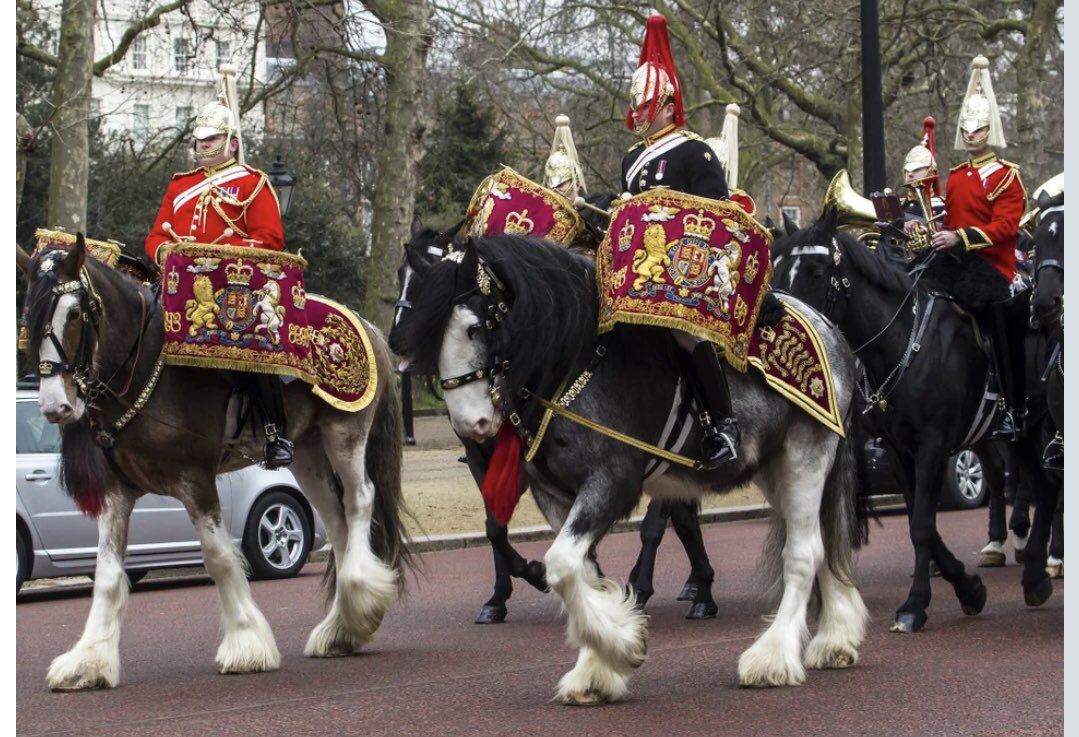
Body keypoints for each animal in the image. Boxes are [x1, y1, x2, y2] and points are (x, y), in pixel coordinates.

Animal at [25, 237, 412, 690]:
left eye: (74, 313)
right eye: (27, 314)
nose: (55, 406)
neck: (142, 373)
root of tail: (365, 324)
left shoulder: (195, 478)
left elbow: (220, 558)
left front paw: (246, 644)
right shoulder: (116, 490)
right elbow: (106, 573)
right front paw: (88, 661)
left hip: (344, 434)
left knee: (359, 500)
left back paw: (361, 600)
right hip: (307, 454)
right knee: (336, 520)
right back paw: (342, 629)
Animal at [397, 235, 867, 703]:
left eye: (474, 328)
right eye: (427, 334)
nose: (470, 426)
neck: (573, 363)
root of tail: (829, 327)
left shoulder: (611, 482)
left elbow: (561, 564)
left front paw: (622, 645)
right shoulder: (555, 496)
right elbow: (581, 572)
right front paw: (600, 665)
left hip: (806, 453)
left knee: (803, 553)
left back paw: (772, 657)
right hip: (776, 469)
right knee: (821, 540)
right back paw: (834, 640)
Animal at [772, 217, 1057, 630]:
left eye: (817, 271)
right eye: (777, 269)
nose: (784, 331)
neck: (901, 343)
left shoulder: (932, 446)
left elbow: (923, 524)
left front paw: (915, 605)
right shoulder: (900, 450)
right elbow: (919, 524)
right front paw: (969, 589)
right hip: (1022, 434)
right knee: (1044, 487)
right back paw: (1034, 577)